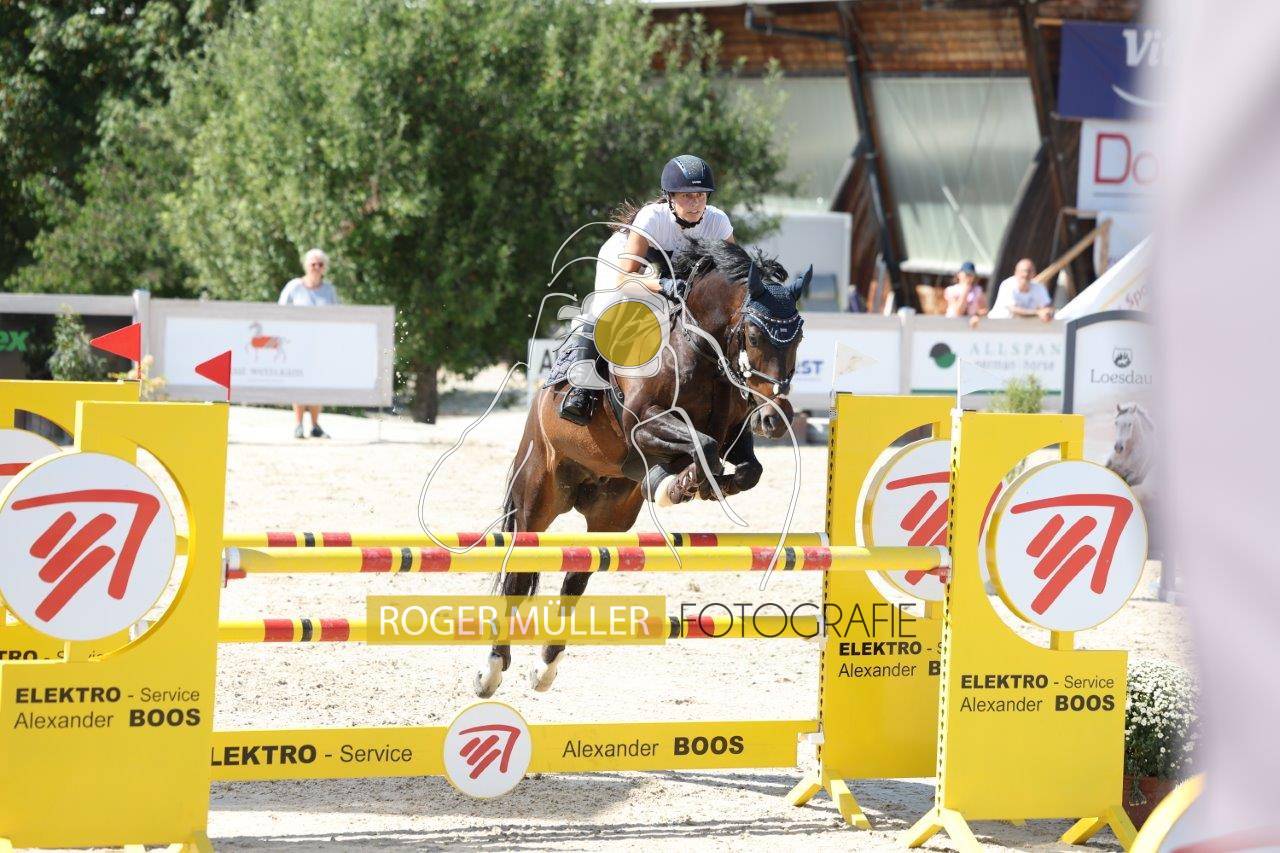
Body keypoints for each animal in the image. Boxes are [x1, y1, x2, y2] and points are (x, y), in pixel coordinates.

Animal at [475, 239, 808, 697]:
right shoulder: (645, 423)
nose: (775, 418)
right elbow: (702, 447)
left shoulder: (735, 434)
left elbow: (743, 468)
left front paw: (689, 483)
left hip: (610, 515)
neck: (702, 351)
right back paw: (491, 669)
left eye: (800, 336)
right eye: (755, 335)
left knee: (578, 575)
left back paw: (545, 666)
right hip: (536, 498)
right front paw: (681, 483)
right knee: (518, 577)